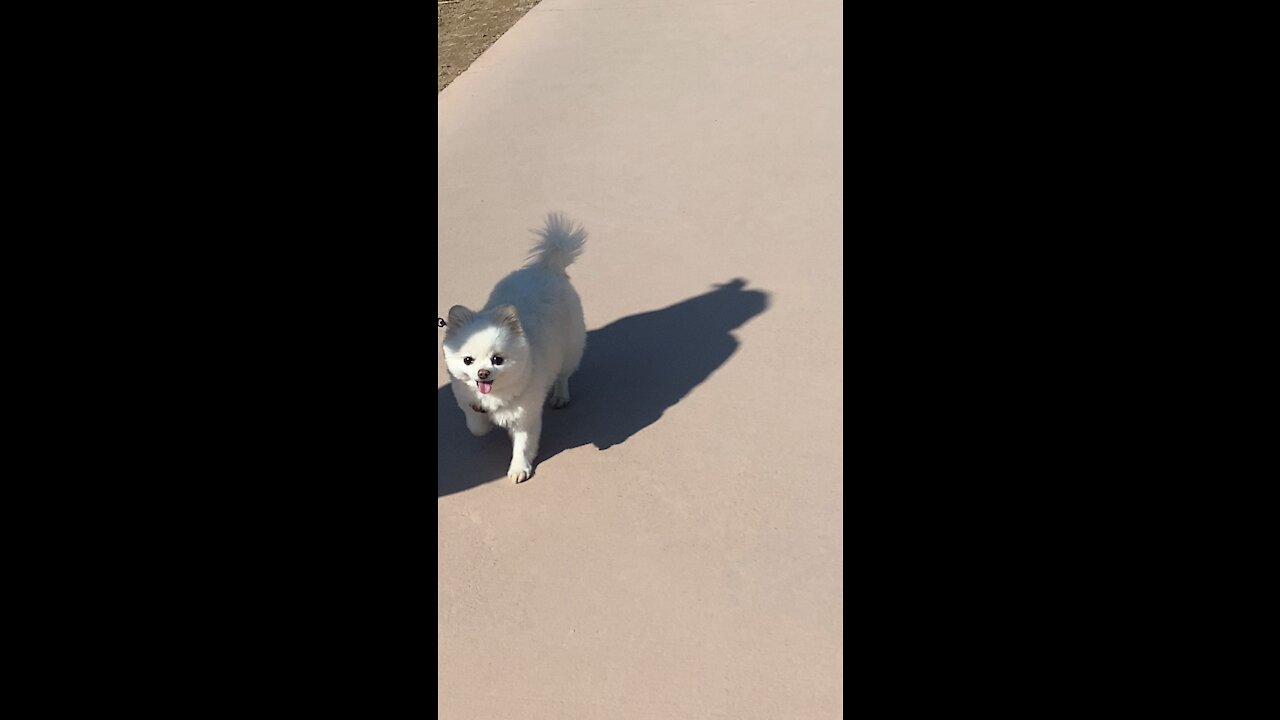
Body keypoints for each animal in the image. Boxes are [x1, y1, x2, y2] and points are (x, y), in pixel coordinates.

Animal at [437, 212, 583, 481]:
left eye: (498, 359)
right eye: (467, 360)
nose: (483, 373)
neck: (495, 395)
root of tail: (546, 267)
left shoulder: (525, 416)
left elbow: (523, 445)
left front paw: (519, 469)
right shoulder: (467, 400)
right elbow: (475, 426)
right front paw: (484, 425)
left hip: (570, 349)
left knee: (563, 375)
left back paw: (560, 395)